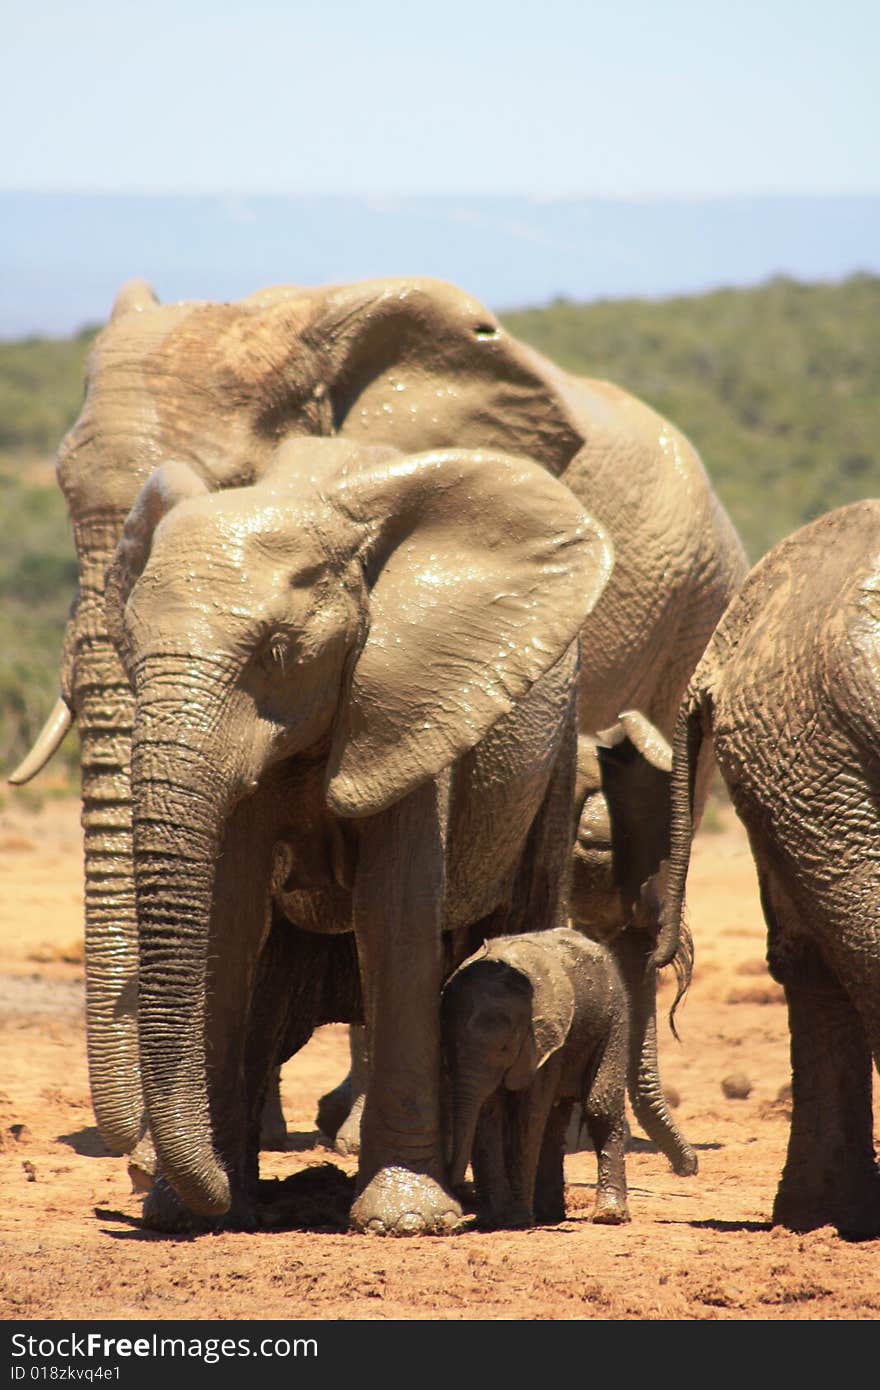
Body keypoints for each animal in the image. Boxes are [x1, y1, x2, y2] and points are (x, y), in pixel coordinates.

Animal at [442, 928, 628, 1223]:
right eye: (450, 1045)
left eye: (505, 1048)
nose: (457, 1188)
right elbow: (490, 1112)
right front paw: (497, 1219)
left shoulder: (543, 1042)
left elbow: (527, 1113)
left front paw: (517, 1219)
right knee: (554, 1120)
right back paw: (549, 1215)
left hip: (614, 1015)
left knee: (600, 1107)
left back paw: (608, 1215)